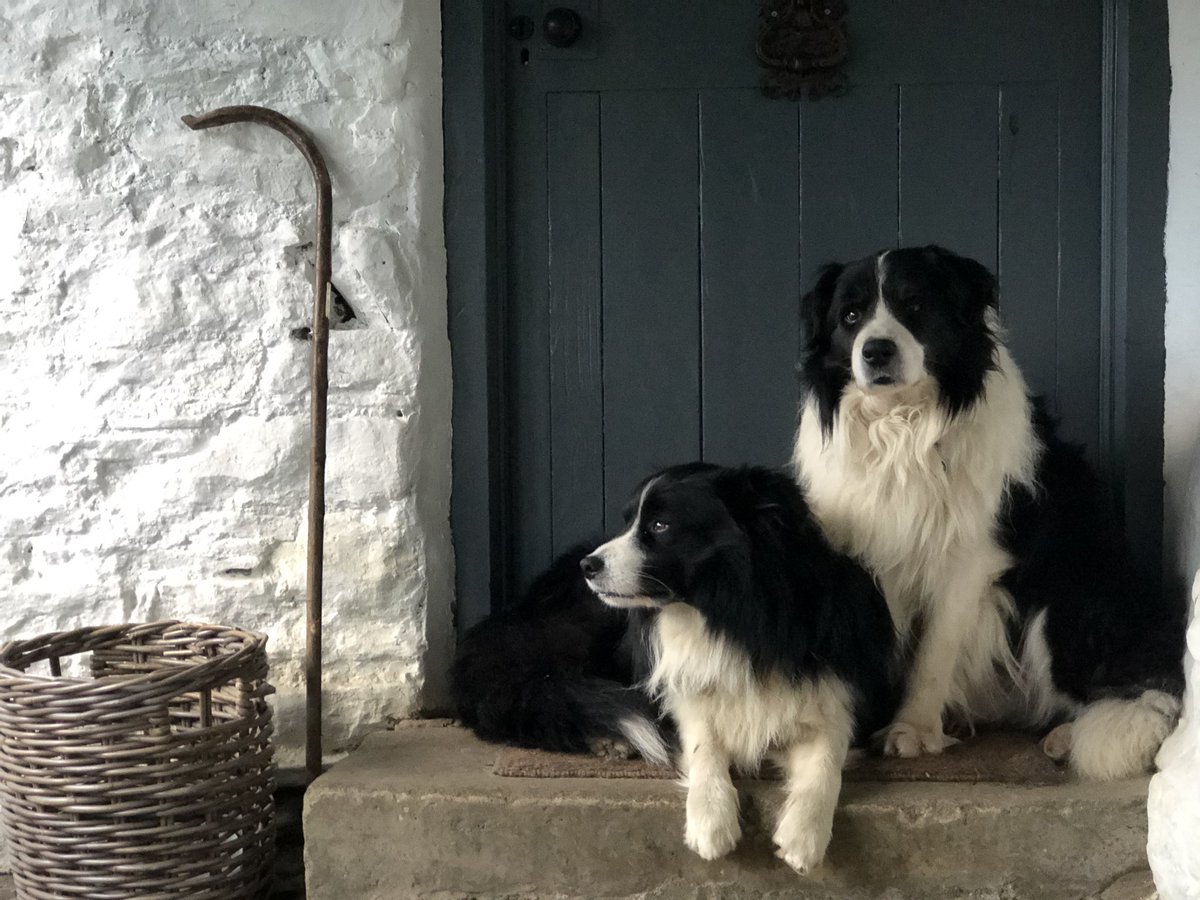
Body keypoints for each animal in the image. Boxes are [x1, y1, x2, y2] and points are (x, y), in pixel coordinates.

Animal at [451, 460, 902, 868]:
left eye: (660, 526)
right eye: (629, 522)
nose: (589, 567)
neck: (728, 617)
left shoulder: (832, 695)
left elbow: (827, 759)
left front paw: (804, 837)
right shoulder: (681, 692)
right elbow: (705, 743)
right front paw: (711, 820)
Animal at [792, 247, 1185, 782]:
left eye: (914, 306)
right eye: (850, 316)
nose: (875, 351)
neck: (902, 426)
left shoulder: (971, 558)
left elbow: (932, 654)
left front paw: (911, 730)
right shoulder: (868, 557)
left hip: (1064, 601)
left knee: (1145, 694)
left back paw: (1072, 736)